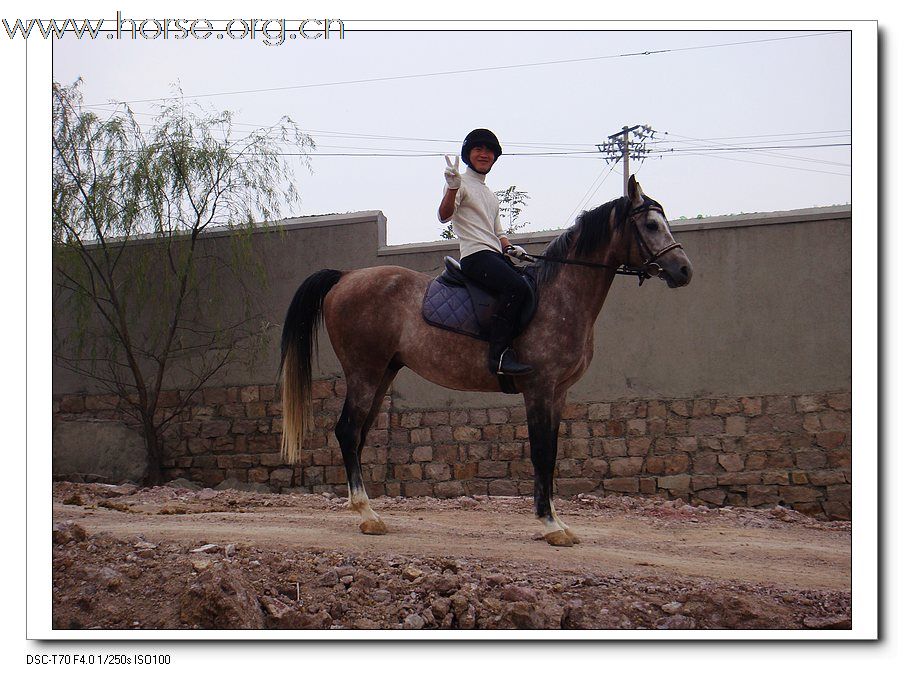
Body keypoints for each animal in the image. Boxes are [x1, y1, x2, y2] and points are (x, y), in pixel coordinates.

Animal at [278, 175, 696, 548]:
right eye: (651, 224)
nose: (684, 270)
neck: (559, 296)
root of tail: (346, 276)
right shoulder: (539, 389)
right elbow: (541, 452)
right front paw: (549, 525)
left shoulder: (558, 393)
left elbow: (551, 452)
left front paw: (557, 521)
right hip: (364, 372)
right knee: (348, 431)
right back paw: (367, 514)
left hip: (382, 373)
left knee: (359, 435)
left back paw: (367, 511)